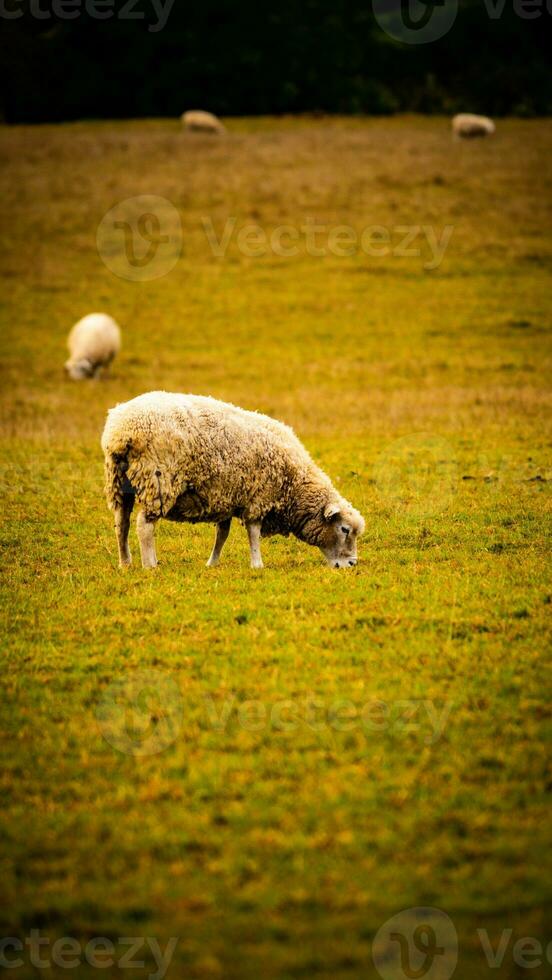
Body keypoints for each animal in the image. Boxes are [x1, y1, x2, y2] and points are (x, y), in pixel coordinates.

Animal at [101, 390, 364, 572]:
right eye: (344, 529)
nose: (352, 564)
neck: (294, 483)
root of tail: (120, 431)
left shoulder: (225, 497)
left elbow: (222, 534)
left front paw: (212, 562)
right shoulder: (259, 497)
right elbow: (253, 533)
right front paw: (257, 564)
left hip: (119, 482)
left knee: (121, 524)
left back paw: (125, 563)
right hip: (158, 481)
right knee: (144, 525)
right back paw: (149, 564)